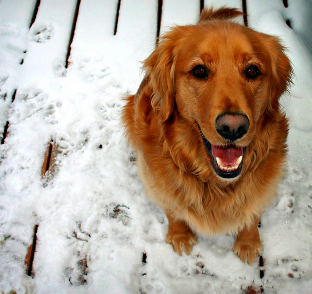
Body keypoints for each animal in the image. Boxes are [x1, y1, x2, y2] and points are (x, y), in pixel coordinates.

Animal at [122, 7, 290, 264]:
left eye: (252, 71)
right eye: (199, 71)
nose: (233, 127)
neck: (214, 182)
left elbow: (252, 212)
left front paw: (248, 242)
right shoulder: (156, 181)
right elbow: (172, 209)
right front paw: (180, 235)